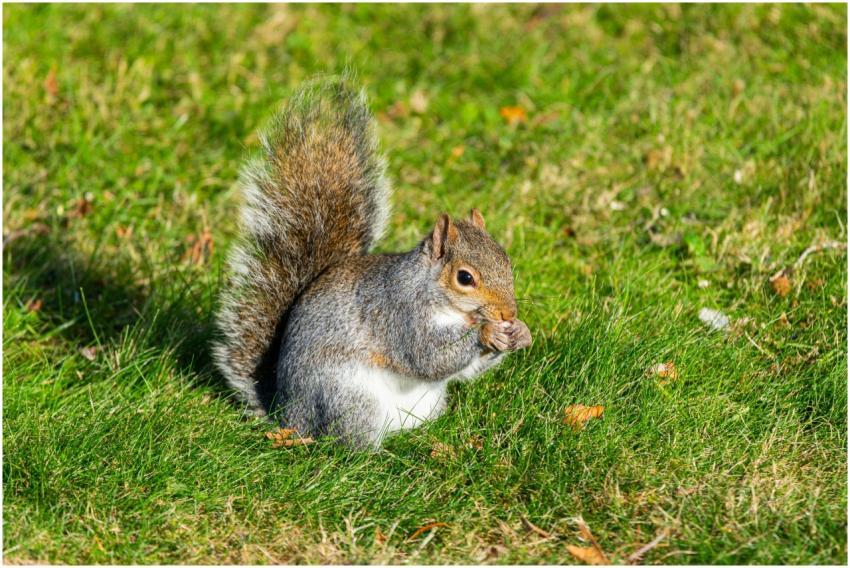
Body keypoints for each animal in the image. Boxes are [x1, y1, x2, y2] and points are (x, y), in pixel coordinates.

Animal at [213, 77, 532, 447]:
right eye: (465, 278)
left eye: (505, 260)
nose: (508, 313)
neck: (446, 303)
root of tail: (289, 415)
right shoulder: (399, 314)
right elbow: (428, 356)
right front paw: (487, 332)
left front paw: (520, 332)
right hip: (349, 398)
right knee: (348, 443)